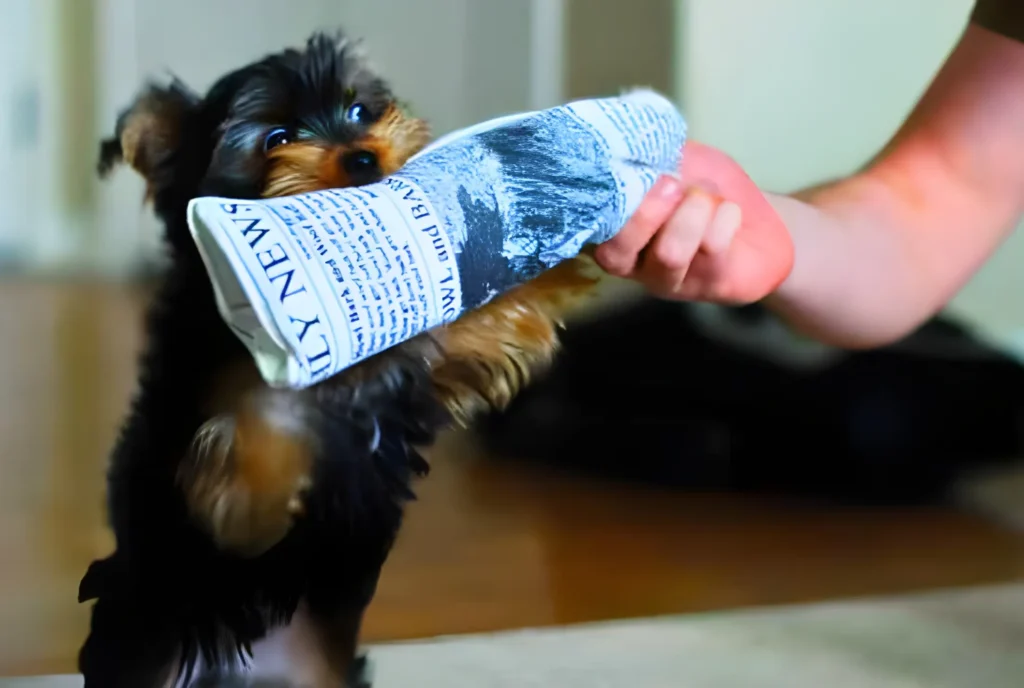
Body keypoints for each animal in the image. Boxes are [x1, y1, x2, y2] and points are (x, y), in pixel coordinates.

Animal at [79, 29, 598, 683]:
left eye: (359, 112)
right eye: (277, 139)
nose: (362, 157)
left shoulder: (412, 366)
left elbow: (462, 328)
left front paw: (568, 250)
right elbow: (259, 418)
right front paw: (248, 505)